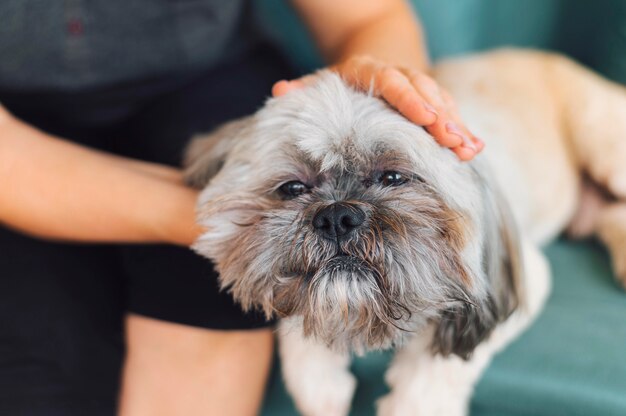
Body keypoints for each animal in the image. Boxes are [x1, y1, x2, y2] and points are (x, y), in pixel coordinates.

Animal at [180, 49, 624, 416]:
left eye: (393, 177)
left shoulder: (523, 279)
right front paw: (319, 382)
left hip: (605, 148)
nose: (337, 216)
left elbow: (437, 365)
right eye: (292, 188)